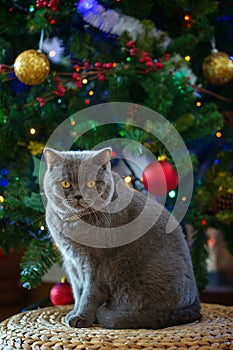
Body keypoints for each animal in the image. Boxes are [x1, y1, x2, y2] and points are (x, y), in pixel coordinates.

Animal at [44, 147, 202, 328]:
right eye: (65, 184)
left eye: (91, 183)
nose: (78, 196)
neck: (75, 224)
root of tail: (196, 304)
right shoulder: (71, 261)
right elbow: (78, 291)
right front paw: (73, 313)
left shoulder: (96, 265)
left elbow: (89, 294)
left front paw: (82, 318)